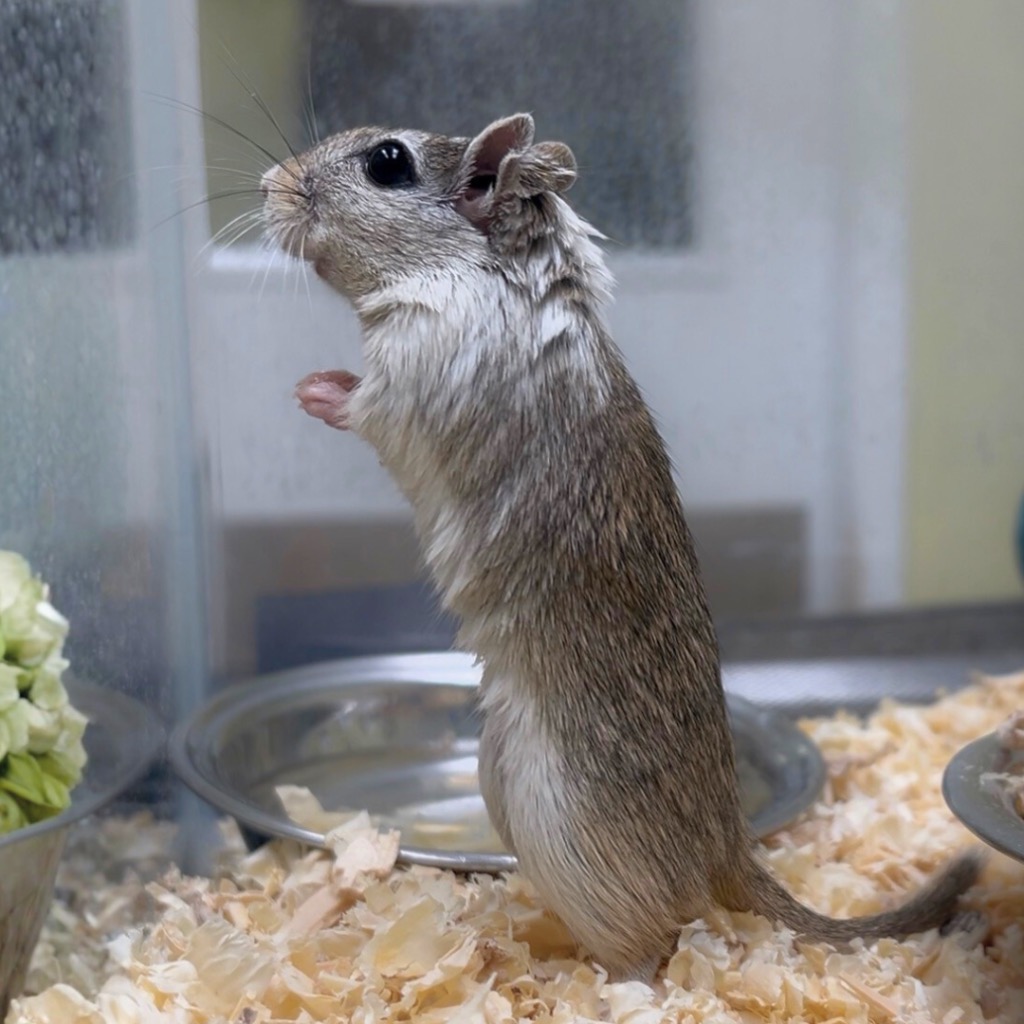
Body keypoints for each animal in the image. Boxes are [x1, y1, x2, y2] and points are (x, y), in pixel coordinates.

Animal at [261, 114, 980, 981]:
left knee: (655, 949)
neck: (473, 269)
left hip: (557, 824)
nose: (266, 184)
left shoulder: (405, 382)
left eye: (387, 162)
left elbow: (358, 403)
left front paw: (309, 388)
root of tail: (731, 848)